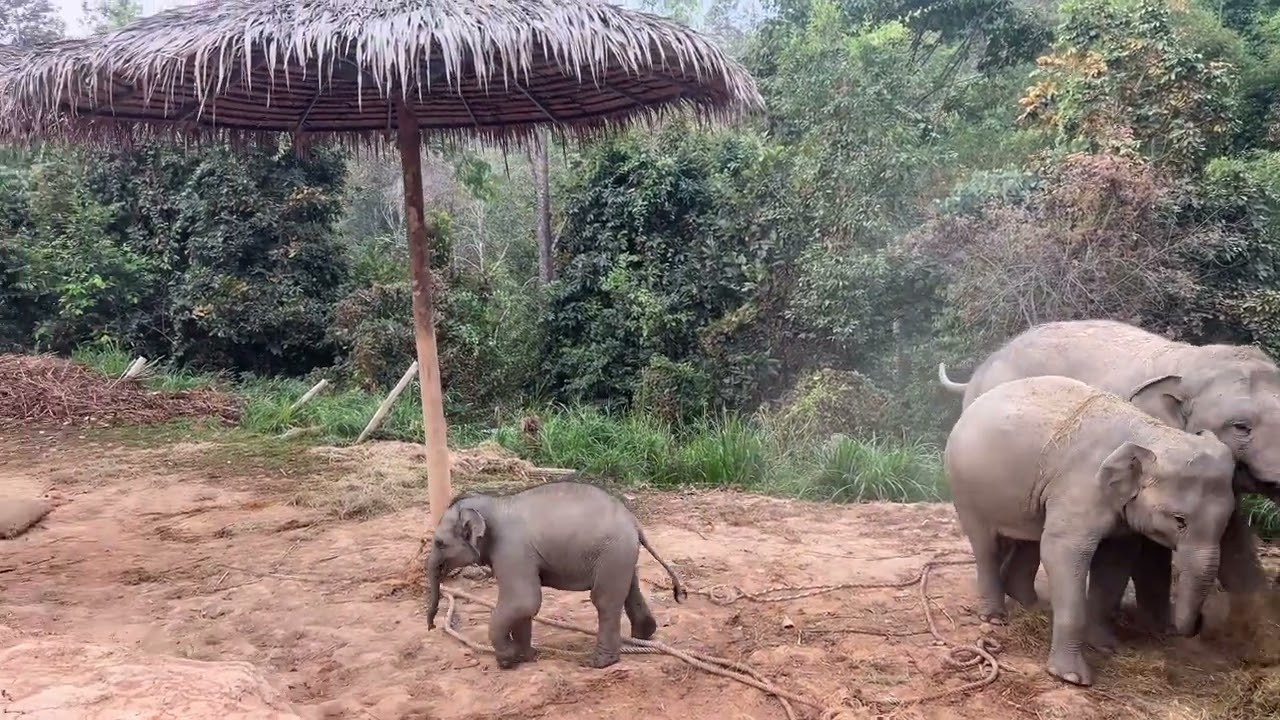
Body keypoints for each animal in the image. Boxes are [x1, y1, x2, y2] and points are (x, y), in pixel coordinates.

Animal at [423, 478, 688, 669]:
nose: (431, 626)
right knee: (629, 590)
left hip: (612, 552)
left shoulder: (512, 551)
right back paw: (643, 636)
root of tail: (634, 521)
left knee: (604, 601)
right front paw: (526, 656)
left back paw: (600, 662)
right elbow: (525, 606)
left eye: (439, 543)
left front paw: (507, 659)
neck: (495, 504)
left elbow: (523, 601)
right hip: (621, 555)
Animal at [937, 318, 1275, 626]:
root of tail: (982, 368)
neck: (1191, 359)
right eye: (1241, 427)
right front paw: (1159, 626)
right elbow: (1151, 547)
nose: (1201, 623)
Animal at [944, 374, 1239, 686]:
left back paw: (1031, 605)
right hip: (965, 488)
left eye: (1227, 519)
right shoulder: (1081, 485)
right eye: (1179, 520)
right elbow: (1062, 551)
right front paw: (1073, 677)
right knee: (986, 545)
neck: (1149, 431)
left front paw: (1107, 646)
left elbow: (1114, 562)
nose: (1197, 625)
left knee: (1030, 539)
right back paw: (994, 618)